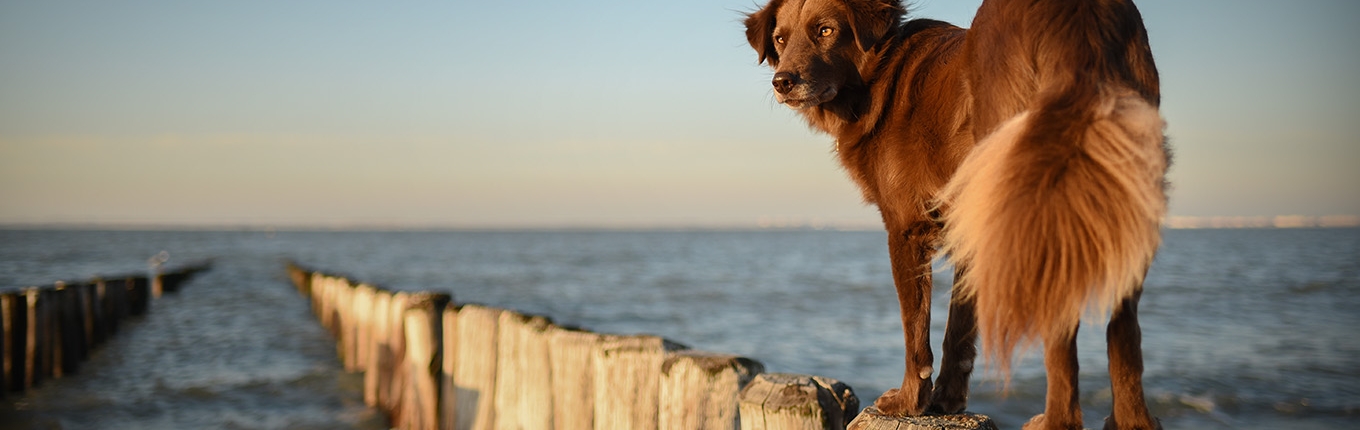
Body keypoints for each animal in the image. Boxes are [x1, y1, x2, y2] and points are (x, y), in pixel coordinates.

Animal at [745, 0, 1169, 430]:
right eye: (780, 39)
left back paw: (1057, 421)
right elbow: (959, 328)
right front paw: (947, 401)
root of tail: (1080, 14)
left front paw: (910, 402)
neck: (880, 77)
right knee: (1125, 327)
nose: (783, 81)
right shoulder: (969, 227)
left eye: (826, 30)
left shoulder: (905, 229)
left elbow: (915, 327)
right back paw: (1131, 420)